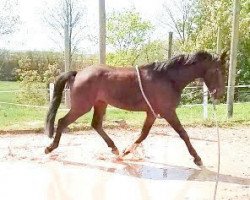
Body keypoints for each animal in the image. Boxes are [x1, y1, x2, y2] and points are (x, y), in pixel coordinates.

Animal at [44, 50, 228, 166]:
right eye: (218, 70)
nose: (219, 94)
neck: (168, 78)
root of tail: (78, 73)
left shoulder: (152, 114)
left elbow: (143, 134)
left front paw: (127, 151)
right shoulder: (168, 112)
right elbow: (183, 133)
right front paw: (197, 158)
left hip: (100, 104)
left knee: (96, 124)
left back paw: (115, 149)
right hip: (82, 107)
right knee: (62, 121)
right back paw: (50, 147)